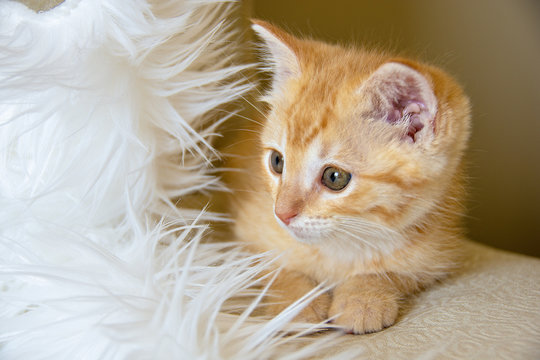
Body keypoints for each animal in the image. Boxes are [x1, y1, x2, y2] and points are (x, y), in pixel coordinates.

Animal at [221, 20, 470, 334]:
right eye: (277, 162)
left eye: (334, 177)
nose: (282, 214)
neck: (343, 244)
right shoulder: (243, 237)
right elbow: (271, 266)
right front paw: (296, 303)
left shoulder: (437, 255)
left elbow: (395, 271)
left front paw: (363, 297)